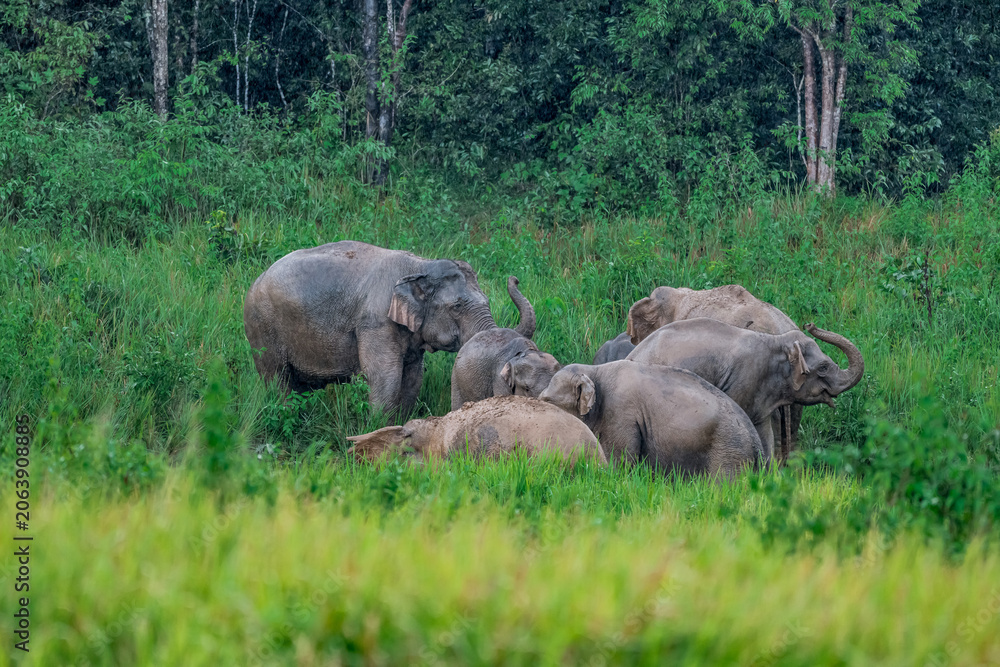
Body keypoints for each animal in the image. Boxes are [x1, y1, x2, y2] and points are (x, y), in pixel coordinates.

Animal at [243, 240, 534, 419]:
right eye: (457, 306)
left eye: (486, 300)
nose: (516, 277)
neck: (420, 266)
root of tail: (256, 280)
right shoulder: (376, 321)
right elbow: (385, 375)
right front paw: (377, 427)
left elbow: (413, 377)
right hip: (261, 327)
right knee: (277, 379)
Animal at [538, 361, 763, 478]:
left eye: (547, 401)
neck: (595, 371)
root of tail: (758, 445)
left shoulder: (621, 413)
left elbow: (619, 460)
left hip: (729, 452)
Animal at [625, 318, 864, 461]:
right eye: (823, 368)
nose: (810, 324)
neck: (776, 342)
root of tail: (632, 354)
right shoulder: (744, 381)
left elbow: (764, 433)